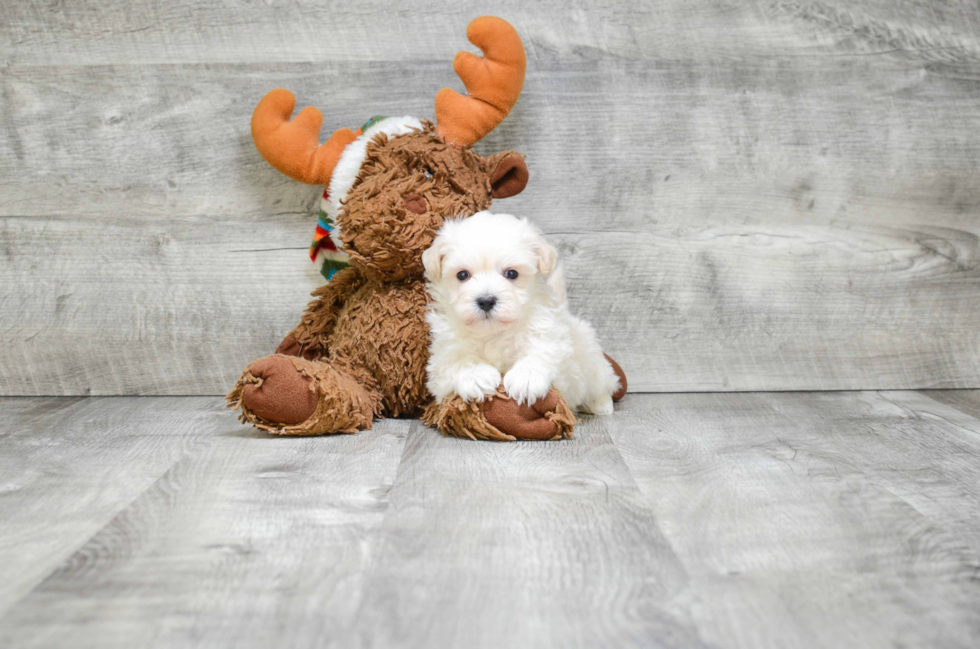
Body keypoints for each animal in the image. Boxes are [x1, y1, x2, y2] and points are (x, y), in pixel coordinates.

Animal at [422, 211, 620, 416]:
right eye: (462, 275)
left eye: (511, 274)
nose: (486, 300)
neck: (493, 332)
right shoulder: (440, 362)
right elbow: (456, 361)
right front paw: (476, 375)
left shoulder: (553, 340)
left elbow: (542, 352)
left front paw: (526, 378)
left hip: (593, 365)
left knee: (604, 384)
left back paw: (602, 405)